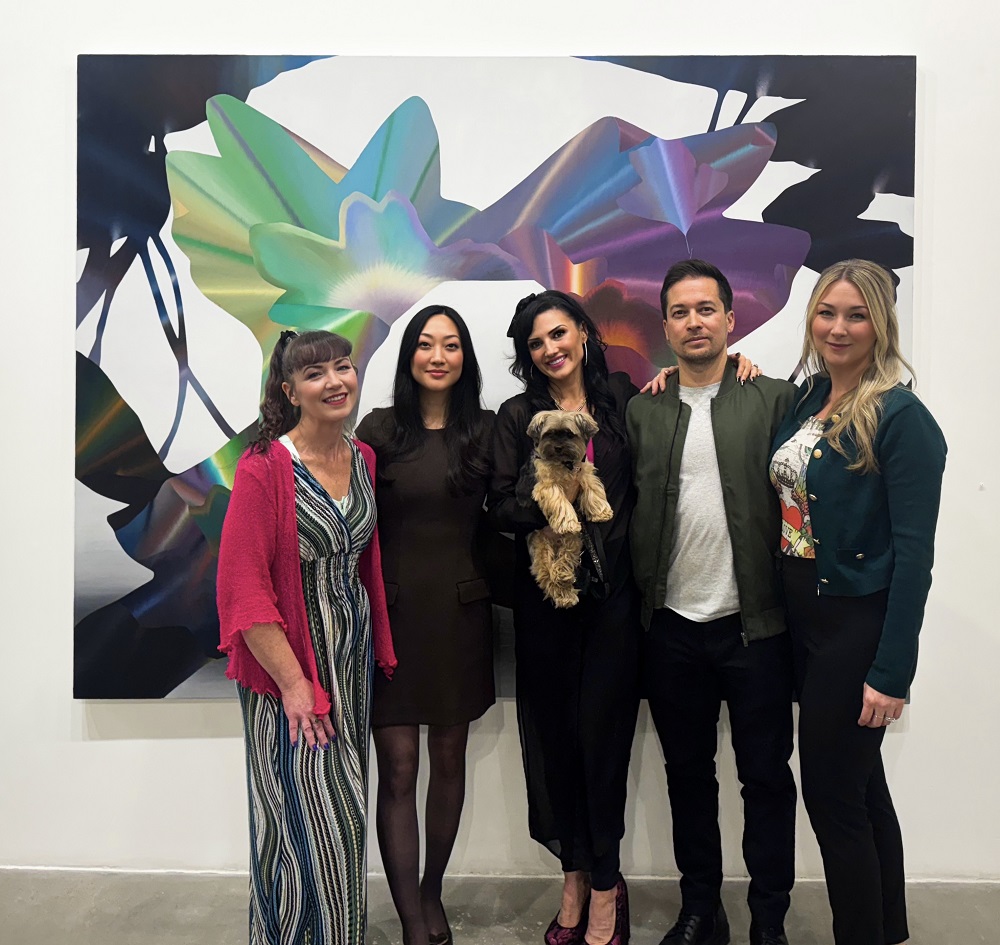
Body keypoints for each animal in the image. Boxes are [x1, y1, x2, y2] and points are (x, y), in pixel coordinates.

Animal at [525, 410, 613, 608]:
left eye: (569, 435)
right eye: (549, 434)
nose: (558, 447)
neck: (565, 463)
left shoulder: (583, 471)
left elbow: (593, 487)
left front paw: (601, 511)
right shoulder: (547, 485)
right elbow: (560, 501)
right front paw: (568, 522)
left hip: (573, 542)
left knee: (565, 560)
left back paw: (563, 580)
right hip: (542, 547)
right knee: (545, 575)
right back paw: (563, 593)